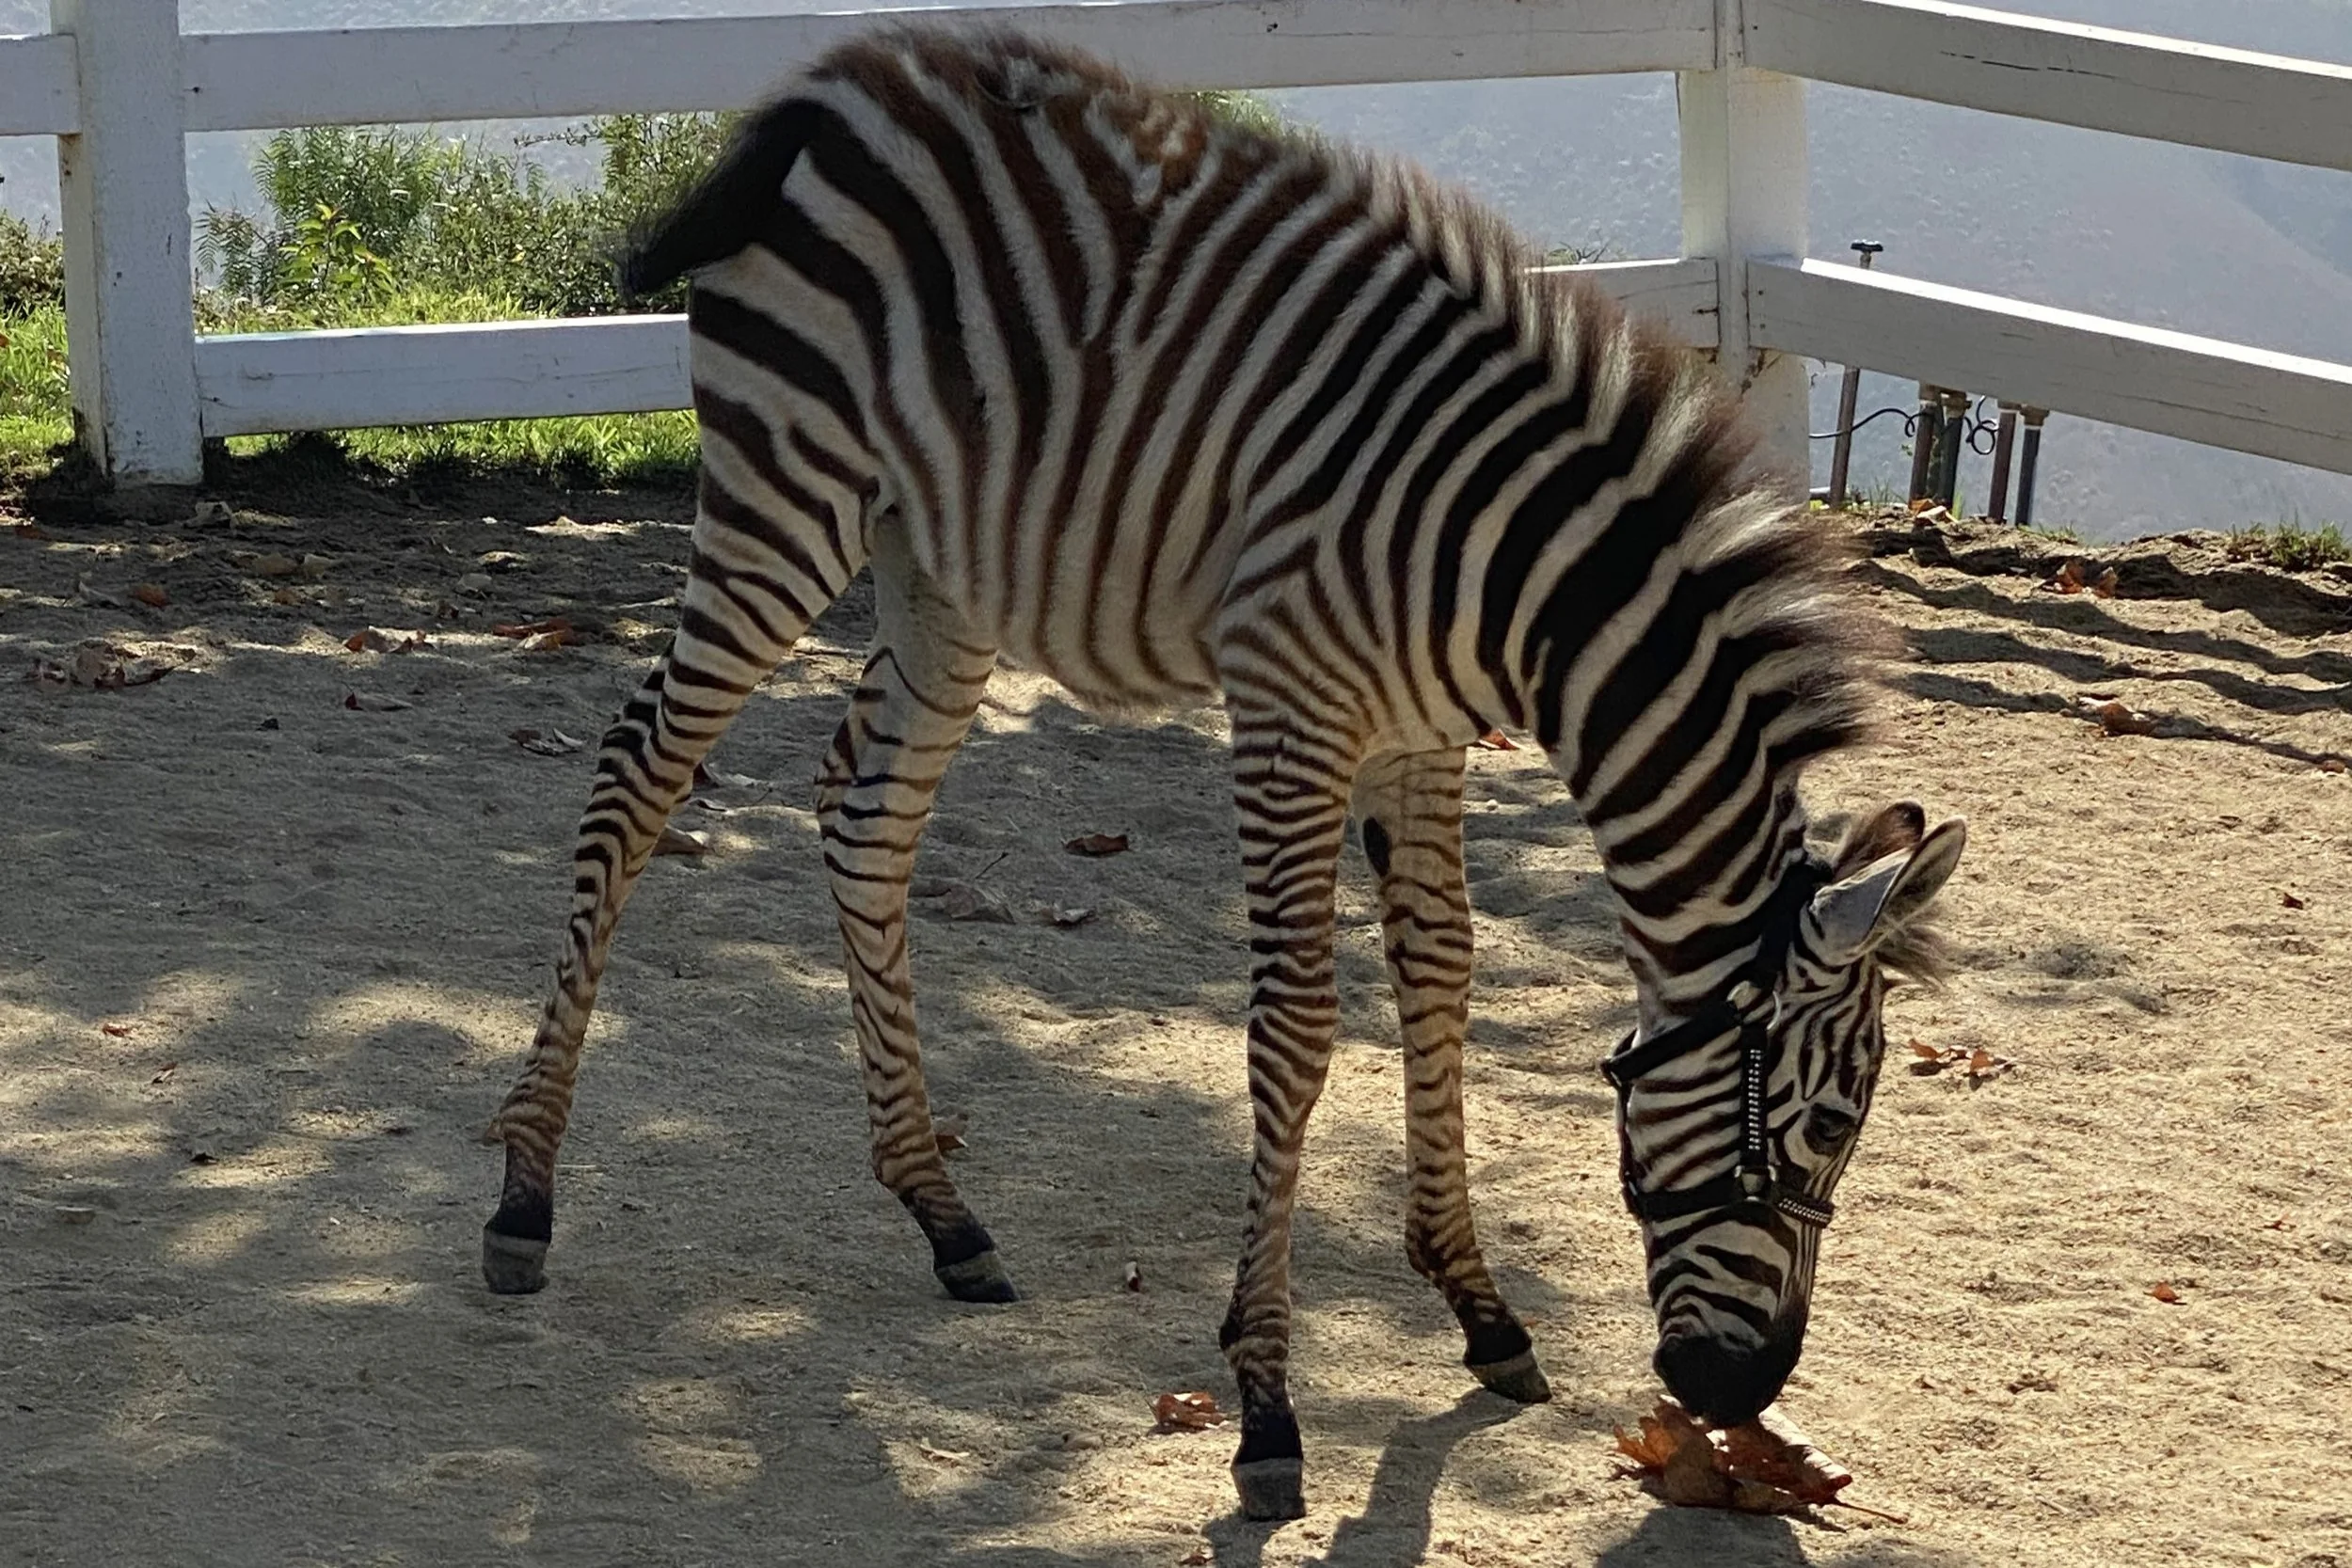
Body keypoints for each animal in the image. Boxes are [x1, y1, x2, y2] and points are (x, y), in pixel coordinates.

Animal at [478, 25, 1967, 1521]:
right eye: (1826, 1122)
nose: (1743, 1389)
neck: (1521, 584)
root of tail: (849, 76)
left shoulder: (1420, 734)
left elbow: (1442, 971)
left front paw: (1479, 1305)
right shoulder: (1292, 709)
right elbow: (1298, 1028)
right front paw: (1265, 1406)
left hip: (938, 568)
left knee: (865, 820)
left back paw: (942, 1211)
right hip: (786, 495)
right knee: (635, 775)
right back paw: (525, 1195)